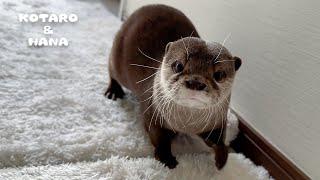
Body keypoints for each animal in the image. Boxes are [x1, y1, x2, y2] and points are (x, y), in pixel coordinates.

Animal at [105, 4, 242, 170]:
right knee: (111, 69)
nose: (195, 82)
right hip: (117, 59)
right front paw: (166, 158)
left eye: (219, 74)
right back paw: (113, 91)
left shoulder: (217, 120)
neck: (187, 125)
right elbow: (158, 136)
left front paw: (222, 159)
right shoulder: (152, 112)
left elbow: (219, 138)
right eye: (178, 65)